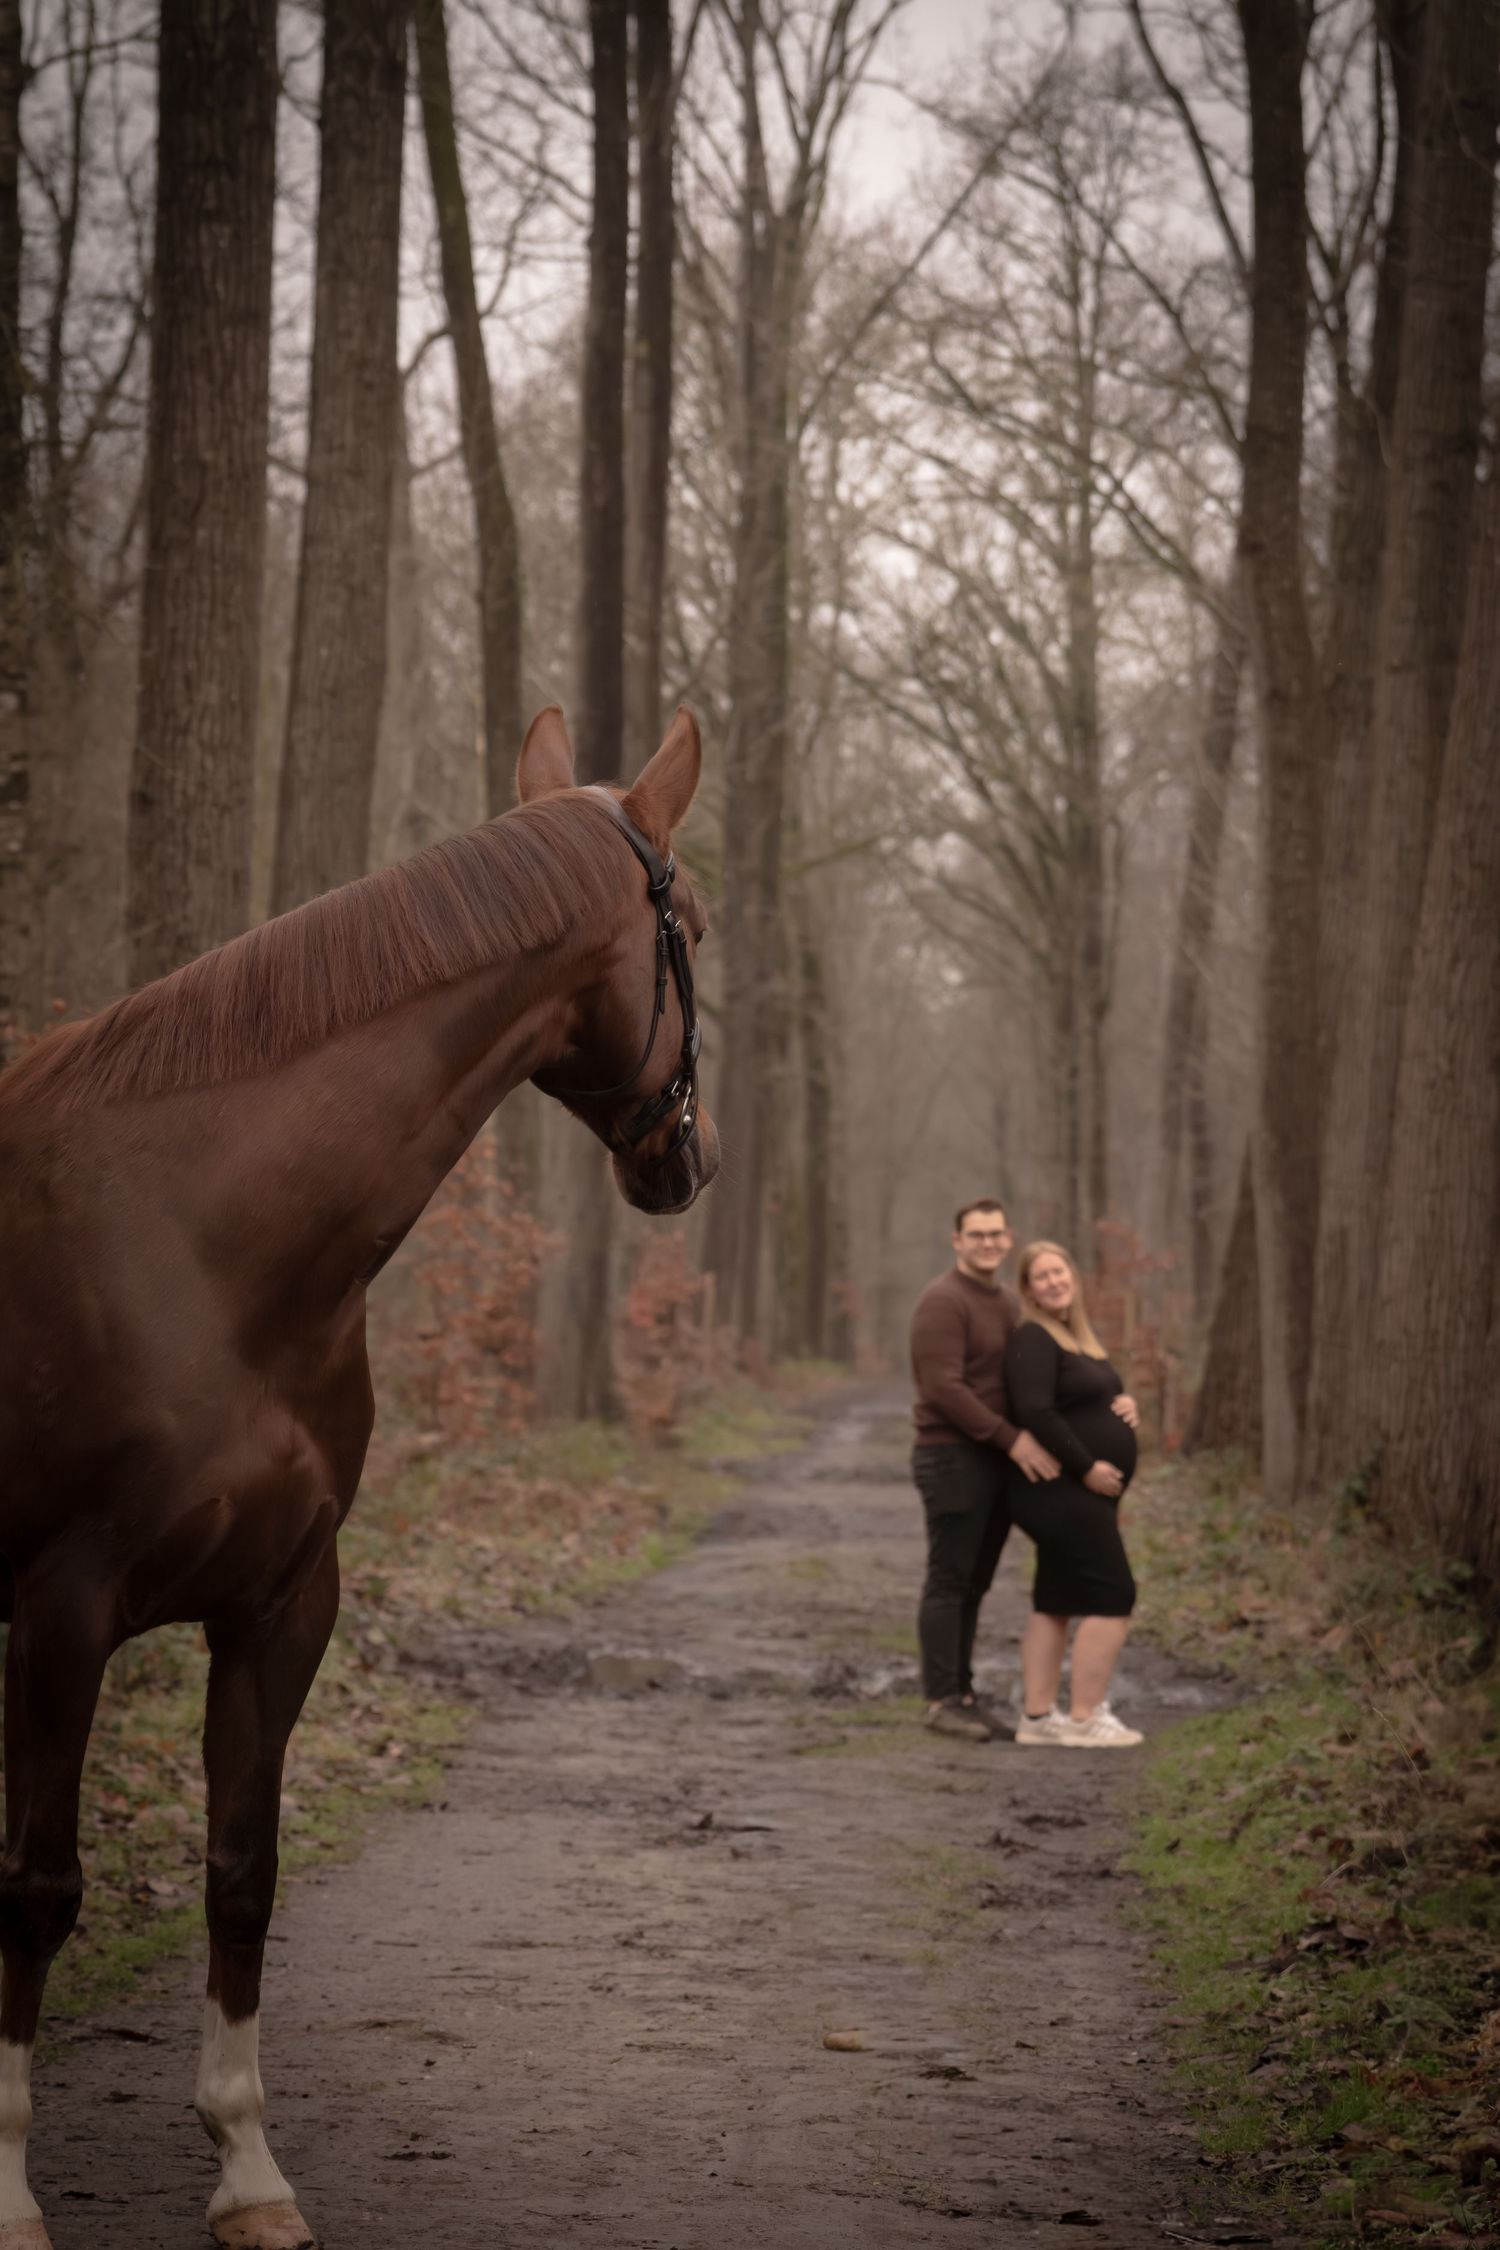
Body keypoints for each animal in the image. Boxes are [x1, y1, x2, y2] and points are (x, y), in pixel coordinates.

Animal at [0, 705, 718, 2250]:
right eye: (691, 921)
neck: (197, 1239)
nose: (688, 1158)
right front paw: (12, 2193)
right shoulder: (62, 1611)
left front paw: (248, 2173)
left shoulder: (282, 1600)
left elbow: (241, 1870)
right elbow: (36, 1885)